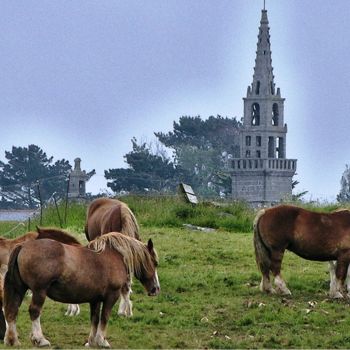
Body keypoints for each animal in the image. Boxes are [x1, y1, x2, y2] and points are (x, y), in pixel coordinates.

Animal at [3, 231, 160, 348]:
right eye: (155, 262)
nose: (155, 289)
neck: (114, 256)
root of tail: (23, 246)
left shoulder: (95, 299)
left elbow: (95, 319)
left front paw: (91, 341)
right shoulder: (111, 296)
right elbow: (104, 317)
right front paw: (102, 340)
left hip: (19, 289)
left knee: (12, 310)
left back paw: (12, 340)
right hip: (39, 291)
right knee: (34, 311)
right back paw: (40, 339)